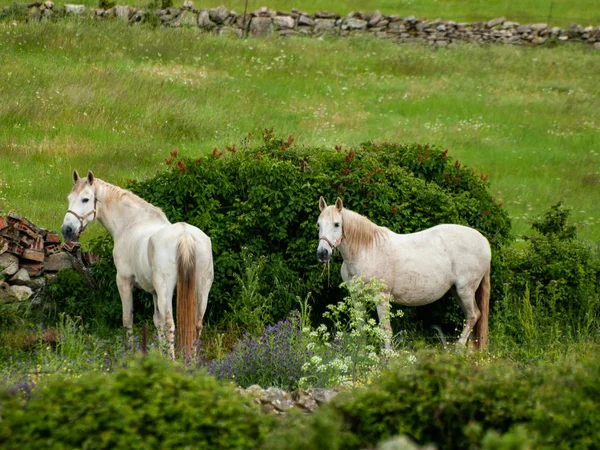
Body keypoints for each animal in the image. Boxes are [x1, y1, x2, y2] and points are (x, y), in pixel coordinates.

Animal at [62, 171, 213, 356]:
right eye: (69, 198)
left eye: (85, 199)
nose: (66, 230)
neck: (132, 222)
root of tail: (184, 235)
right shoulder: (154, 292)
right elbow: (157, 321)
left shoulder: (124, 281)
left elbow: (128, 318)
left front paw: (131, 352)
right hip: (202, 288)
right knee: (197, 323)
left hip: (167, 289)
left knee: (170, 324)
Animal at [316, 196, 490, 348]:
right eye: (318, 224)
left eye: (337, 224)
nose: (322, 253)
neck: (366, 251)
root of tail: (484, 241)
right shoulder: (356, 296)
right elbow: (360, 328)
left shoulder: (381, 296)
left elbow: (386, 330)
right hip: (456, 291)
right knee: (470, 317)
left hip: (465, 290)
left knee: (473, 315)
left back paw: (458, 350)